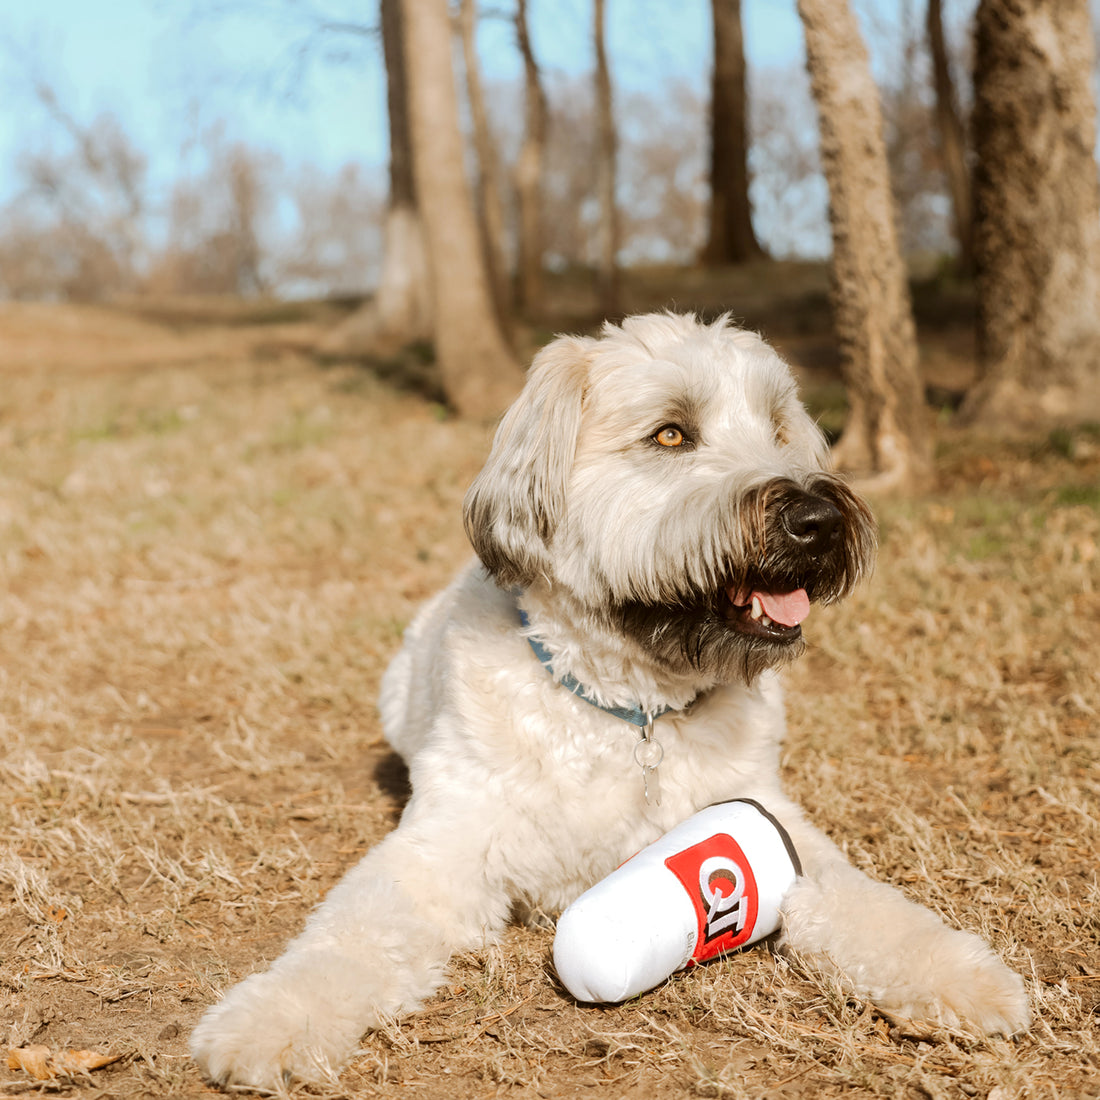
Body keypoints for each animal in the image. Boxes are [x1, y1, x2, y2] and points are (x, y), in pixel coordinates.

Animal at [191, 312, 1029, 1091]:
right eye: (671, 433)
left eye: (780, 428)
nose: (816, 520)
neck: (632, 710)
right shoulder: (438, 850)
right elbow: (351, 938)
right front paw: (271, 1019)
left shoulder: (768, 821)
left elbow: (868, 903)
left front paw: (955, 970)